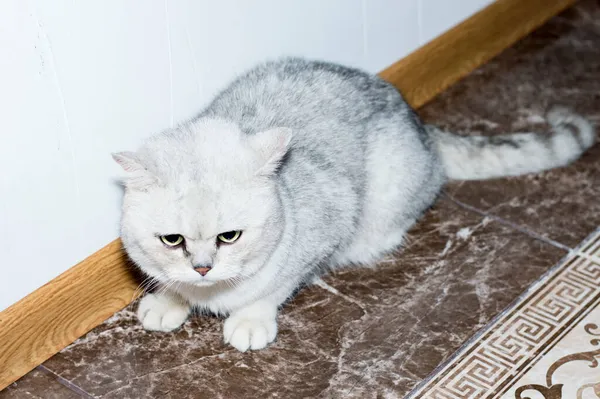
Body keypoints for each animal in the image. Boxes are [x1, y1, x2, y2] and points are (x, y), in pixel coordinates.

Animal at [112, 57, 596, 352]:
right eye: (172, 240)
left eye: (229, 236)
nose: (202, 268)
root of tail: (421, 126)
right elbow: (170, 285)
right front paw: (169, 300)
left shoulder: (326, 227)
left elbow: (276, 286)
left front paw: (250, 319)